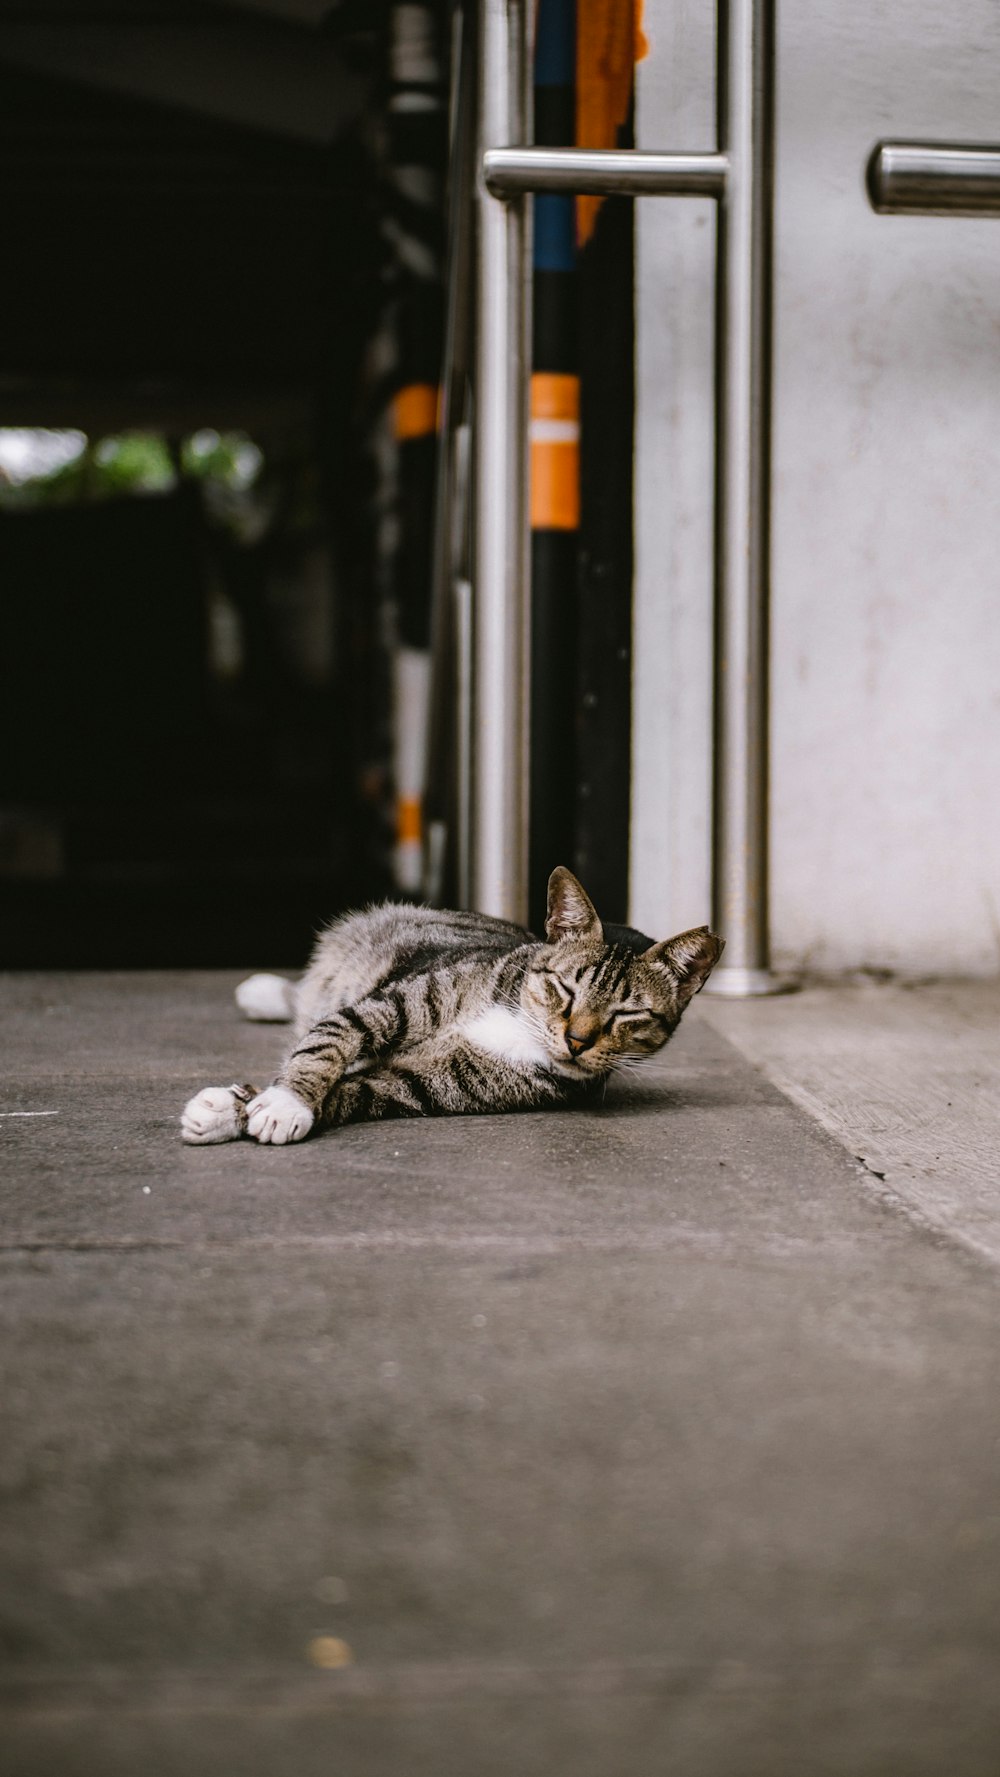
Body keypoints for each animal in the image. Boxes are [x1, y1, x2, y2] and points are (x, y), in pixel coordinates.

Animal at [180, 863, 724, 1144]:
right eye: (566, 988)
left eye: (627, 1014)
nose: (575, 1040)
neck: (520, 1022)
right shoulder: (393, 1002)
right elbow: (331, 1039)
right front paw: (283, 1098)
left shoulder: (429, 1085)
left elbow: (356, 1091)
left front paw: (249, 1109)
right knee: (316, 1006)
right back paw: (266, 991)